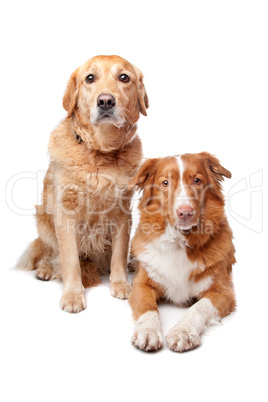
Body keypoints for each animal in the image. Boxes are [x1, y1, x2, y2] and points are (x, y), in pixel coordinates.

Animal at [16, 55, 149, 314]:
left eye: (124, 77)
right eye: (90, 78)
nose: (106, 101)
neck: (100, 153)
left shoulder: (122, 213)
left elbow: (119, 254)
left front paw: (121, 284)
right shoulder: (65, 213)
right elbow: (70, 260)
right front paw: (73, 295)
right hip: (43, 220)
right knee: (48, 252)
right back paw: (45, 269)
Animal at [129, 153, 236, 352]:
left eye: (197, 180)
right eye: (165, 183)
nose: (185, 213)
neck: (179, 242)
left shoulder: (223, 292)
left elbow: (199, 308)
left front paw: (183, 332)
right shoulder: (141, 284)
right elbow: (148, 307)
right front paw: (148, 331)